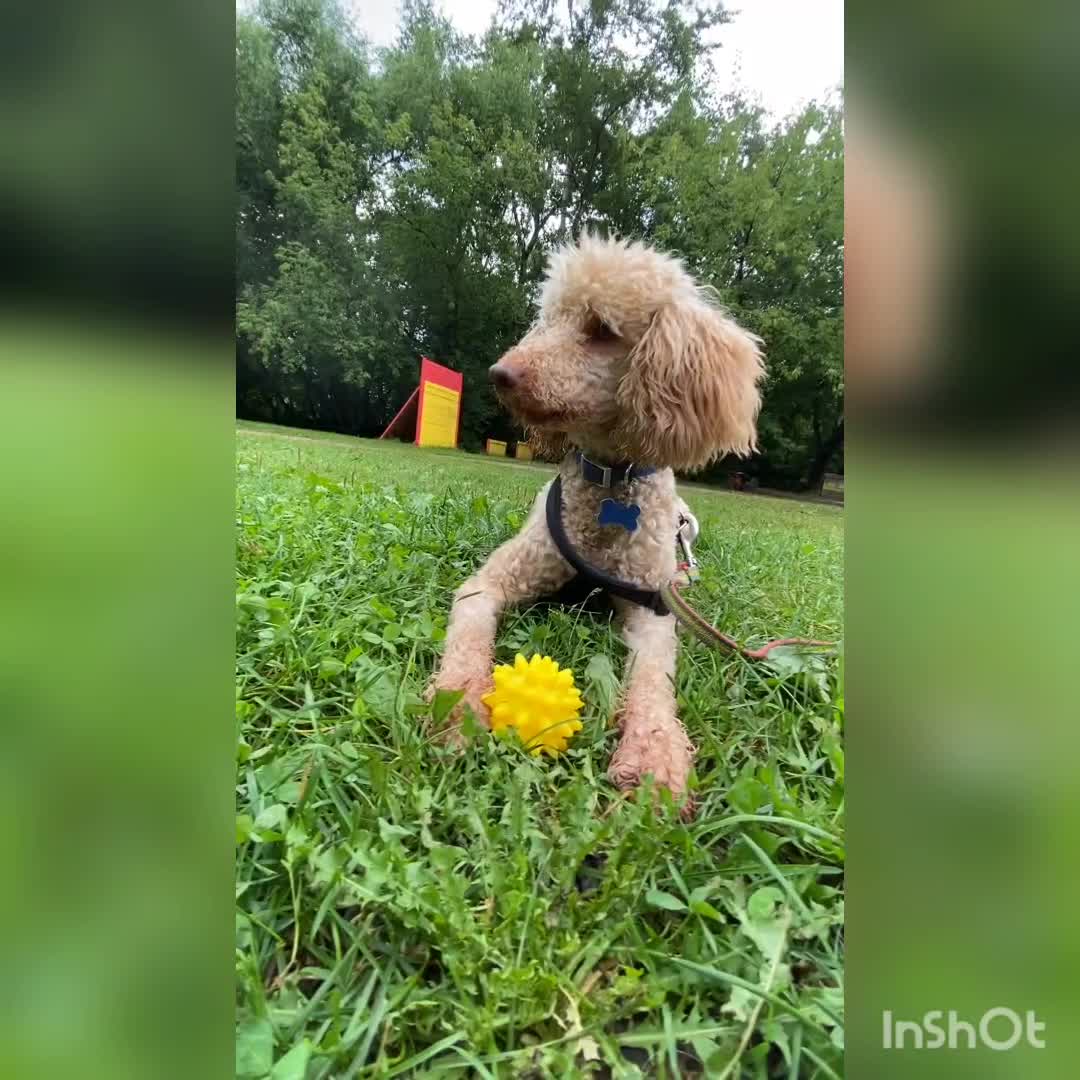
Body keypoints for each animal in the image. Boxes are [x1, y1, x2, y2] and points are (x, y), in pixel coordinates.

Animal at [429, 232, 768, 803]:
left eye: (602, 330)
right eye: (551, 318)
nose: (501, 374)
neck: (609, 480)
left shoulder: (653, 611)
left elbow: (653, 680)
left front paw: (652, 755)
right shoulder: (491, 582)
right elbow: (468, 639)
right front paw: (459, 706)